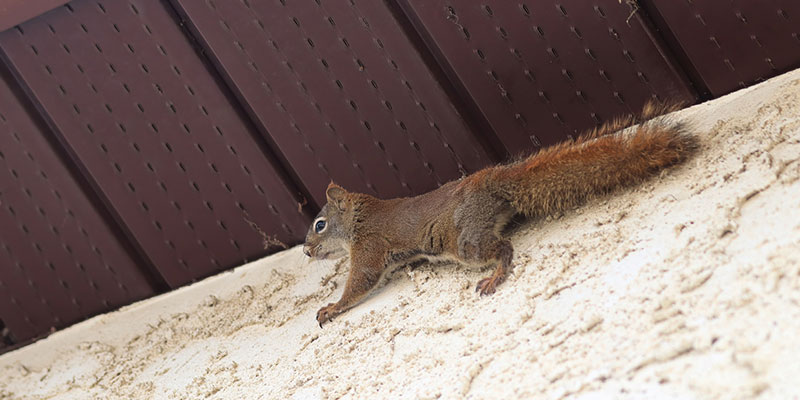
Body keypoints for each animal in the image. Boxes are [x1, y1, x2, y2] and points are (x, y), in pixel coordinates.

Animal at [304, 101, 696, 326]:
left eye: (320, 225)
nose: (307, 250)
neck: (358, 217)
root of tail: (492, 180)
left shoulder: (369, 245)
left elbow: (362, 281)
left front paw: (332, 307)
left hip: (464, 240)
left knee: (502, 248)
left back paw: (496, 275)